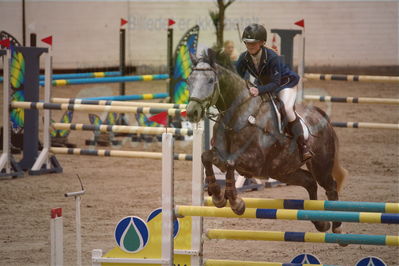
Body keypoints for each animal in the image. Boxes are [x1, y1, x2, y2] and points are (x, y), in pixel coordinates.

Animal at [186, 49, 348, 233]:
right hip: (282, 171)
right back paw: (320, 222)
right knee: (309, 182)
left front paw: (236, 203)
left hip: (321, 166)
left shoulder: (254, 162)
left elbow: (231, 163)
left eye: (210, 80)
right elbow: (206, 157)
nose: (192, 112)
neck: (238, 116)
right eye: (189, 80)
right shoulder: (219, 156)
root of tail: (320, 115)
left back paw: (337, 227)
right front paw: (218, 197)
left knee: (330, 187)